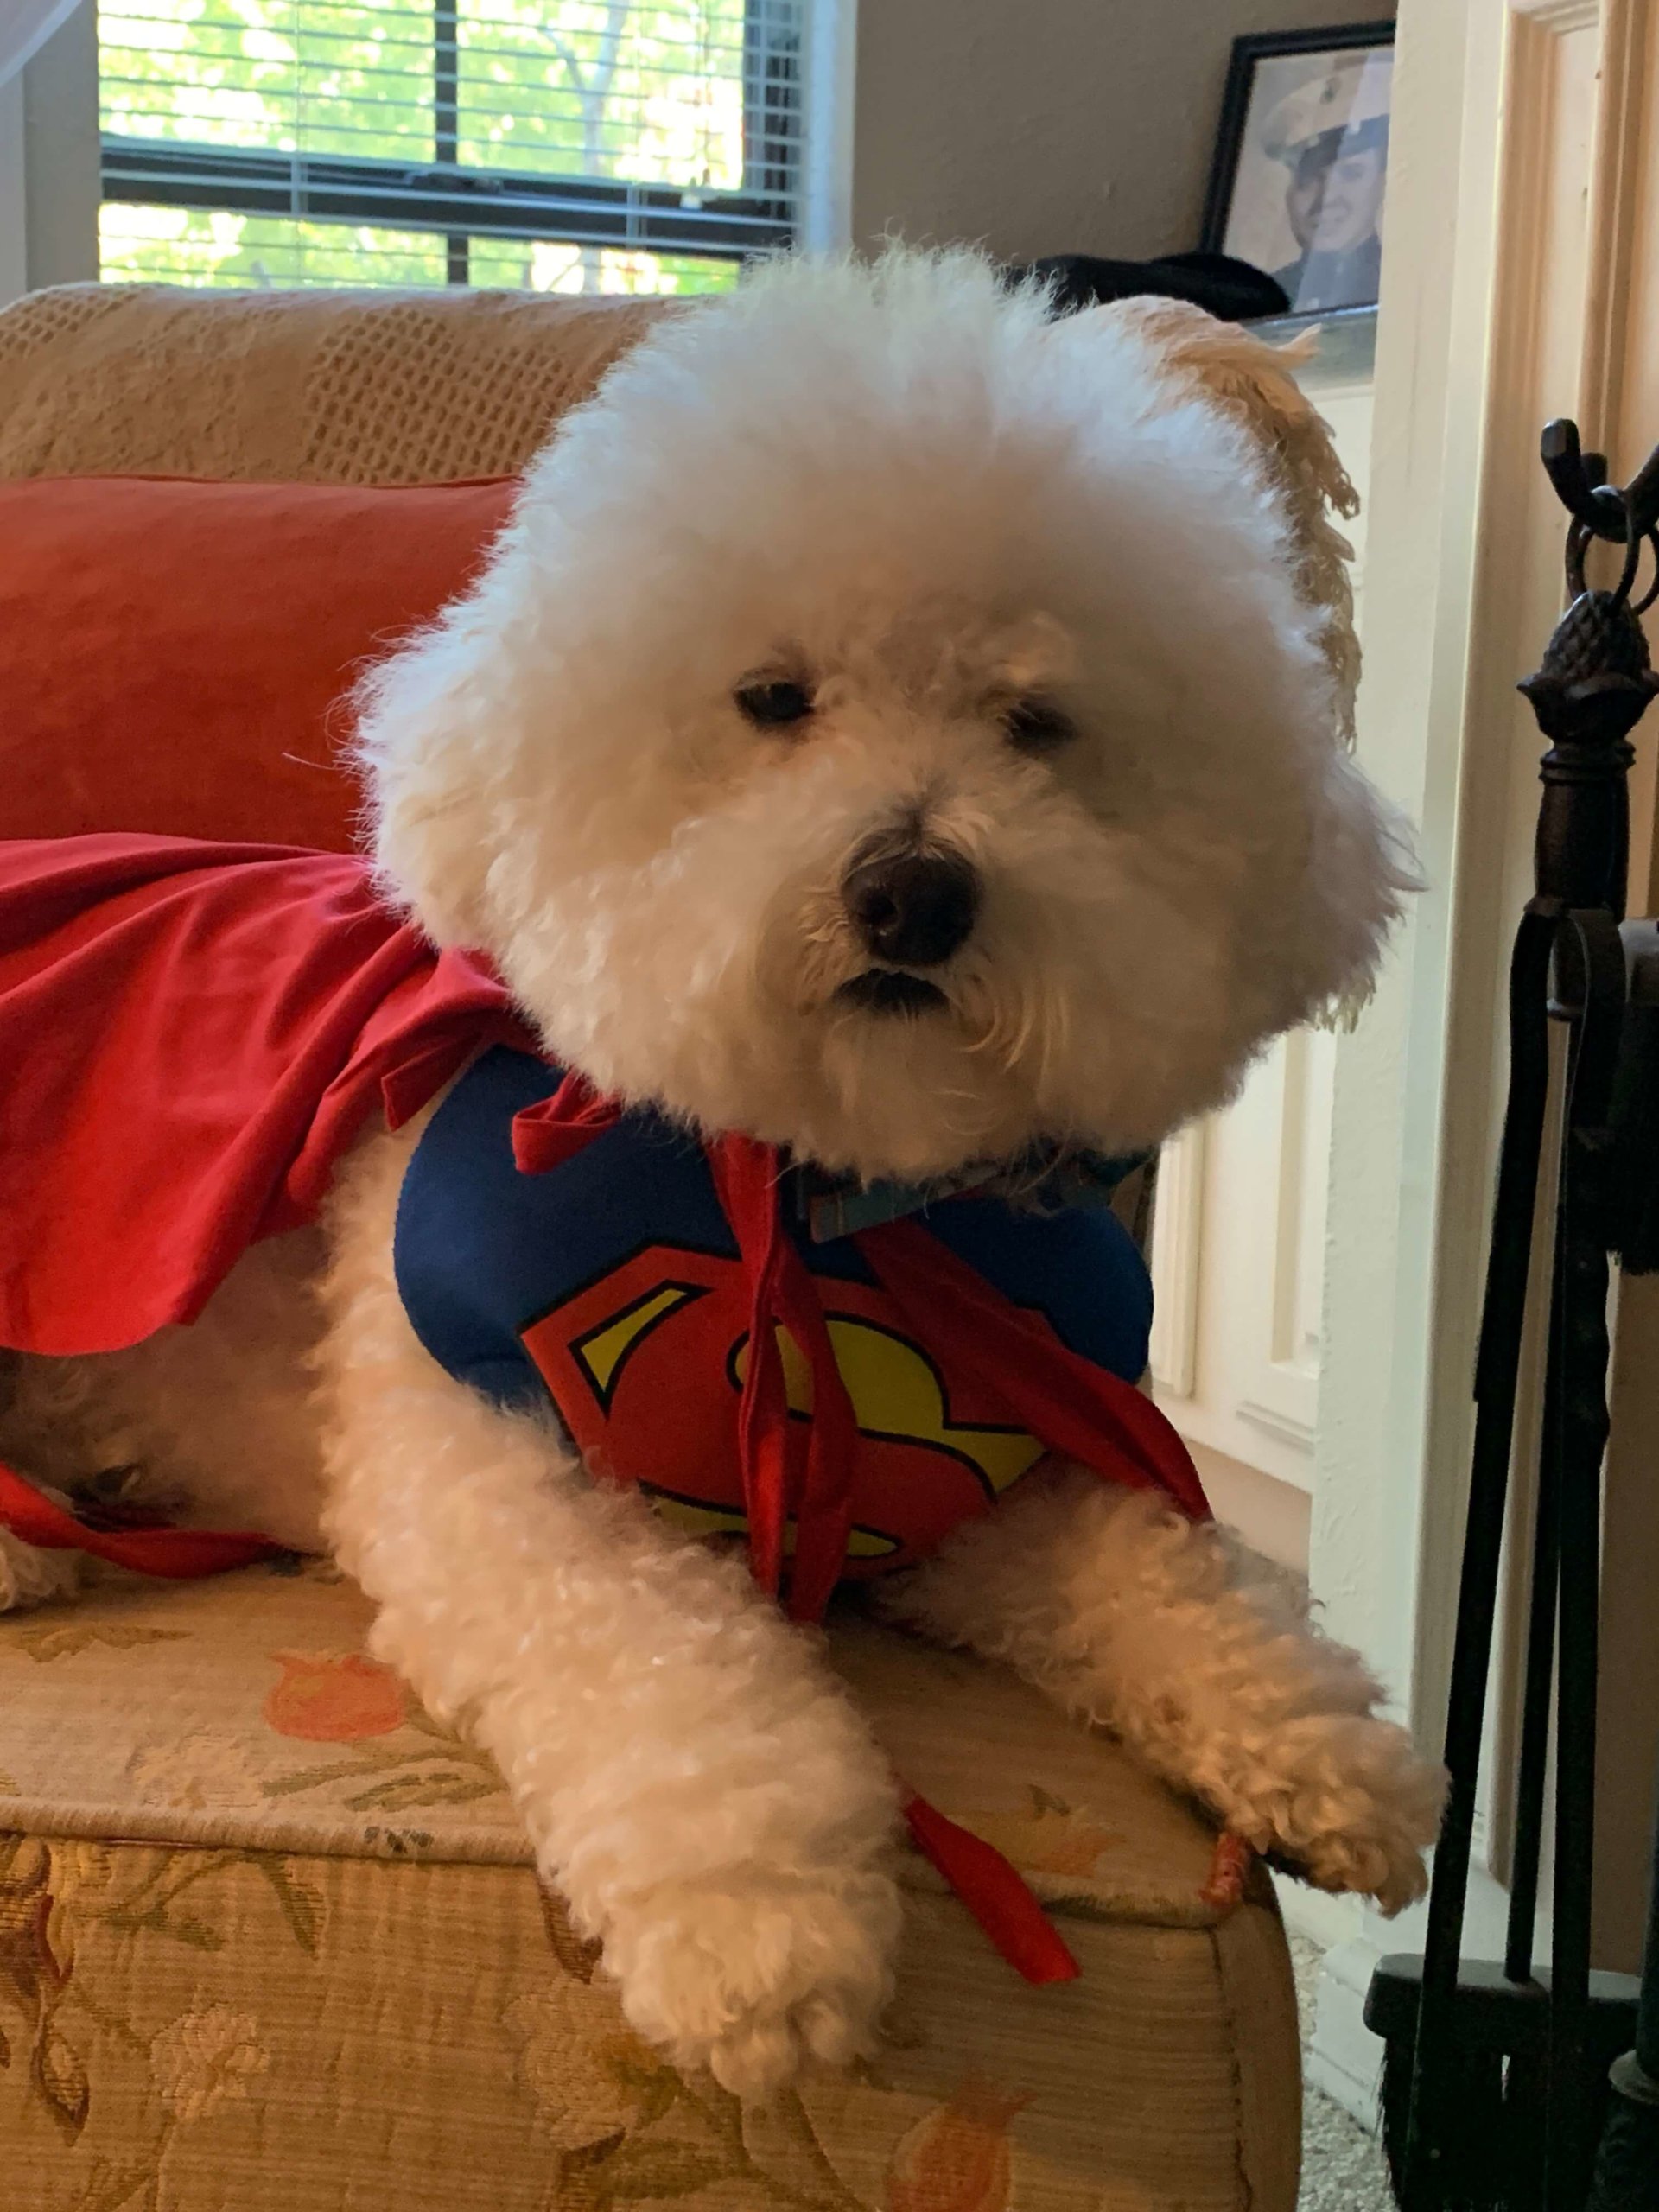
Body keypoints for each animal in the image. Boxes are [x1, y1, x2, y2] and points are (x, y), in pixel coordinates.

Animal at [3, 251, 1442, 2096]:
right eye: (775, 700)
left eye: (1038, 723)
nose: (913, 891)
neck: (811, 1216)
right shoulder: (499, 1487)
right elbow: (667, 1677)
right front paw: (763, 1927)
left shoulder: (963, 1487)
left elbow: (1161, 1570)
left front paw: (1322, 1744)